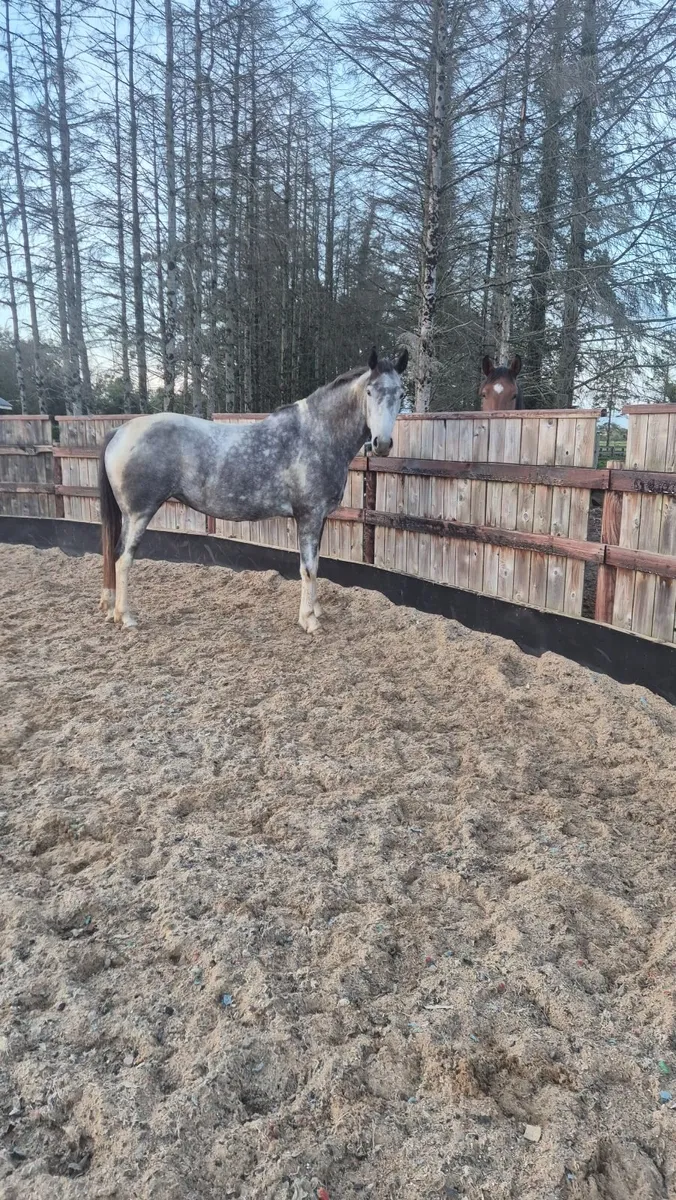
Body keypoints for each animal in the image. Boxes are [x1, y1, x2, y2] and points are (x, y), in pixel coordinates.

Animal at [98, 347, 409, 634]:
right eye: (369, 391)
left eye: (402, 394)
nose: (382, 443)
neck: (317, 434)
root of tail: (120, 431)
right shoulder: (308, 516)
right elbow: (308, 568)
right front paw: (309, 621)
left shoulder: (319, 519)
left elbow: (316, 565)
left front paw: (317, 611)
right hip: (139, 514)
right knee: (123, 559)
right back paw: (126, 617)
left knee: (114, 554)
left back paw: (112, 610)